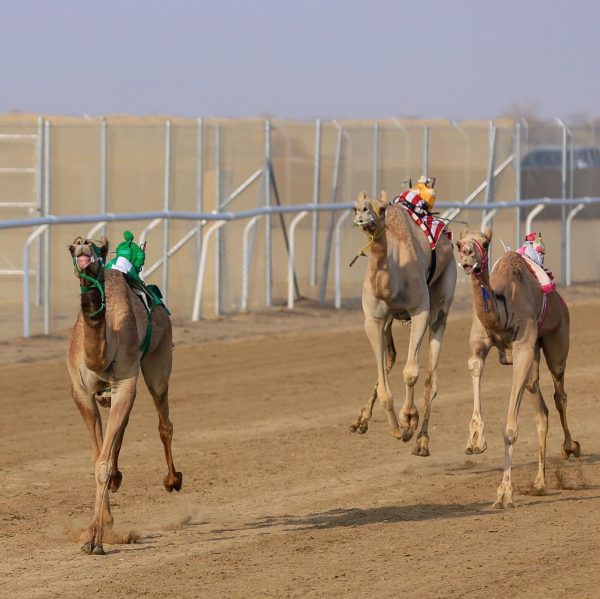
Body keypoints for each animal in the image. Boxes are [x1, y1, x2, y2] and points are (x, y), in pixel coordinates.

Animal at [67, 237, 182, 556]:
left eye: (100, 248)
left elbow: (102, 464)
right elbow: (98, 459)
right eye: (71, 247)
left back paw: (173, 480)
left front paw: (95, 540)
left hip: (158, 361)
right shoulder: (81, 392)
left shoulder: (126, 383)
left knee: (164, 423)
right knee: (122, 427)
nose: (83, 245)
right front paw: (102, 525)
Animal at [350, 191, 458, 454]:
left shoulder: (419, 310)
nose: (362, 214)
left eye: (381, 209)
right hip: (390, 320)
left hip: (444, 293)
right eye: (354, 207)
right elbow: (384, 388)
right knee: (391, 356)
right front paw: (397, 429)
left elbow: (411, 373)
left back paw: (422, 441)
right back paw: (361, 421)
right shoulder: (374, 320)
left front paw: (408, 420)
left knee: (431, 377)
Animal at [458, 227, 580, 508]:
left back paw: (570, 447)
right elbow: (475, 366)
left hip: (557, 338)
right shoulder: (480, 345)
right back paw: (539, 482)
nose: (467, 256)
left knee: (560, 393)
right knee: (541, 410)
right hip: (534, 358)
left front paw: (504, 494)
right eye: (458, 243)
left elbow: (510, 428)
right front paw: (475, 440)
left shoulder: (523, 347)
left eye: (485, 243)